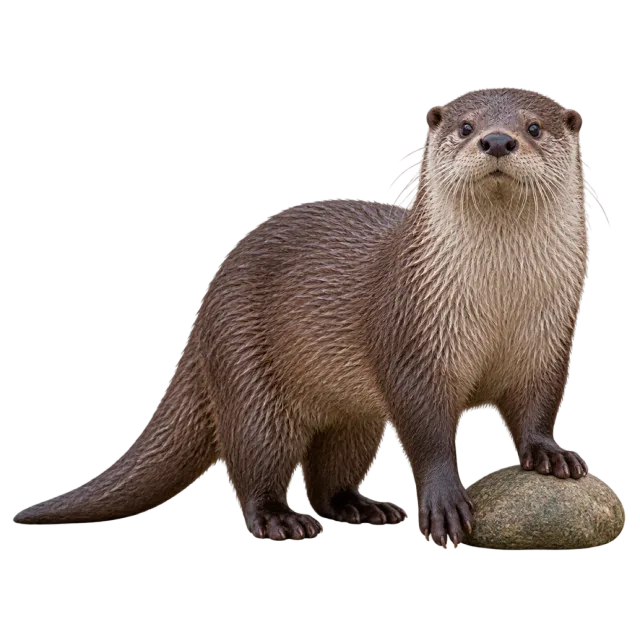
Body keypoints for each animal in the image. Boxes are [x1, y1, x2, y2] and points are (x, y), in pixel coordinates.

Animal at [13, 87, 592, 548]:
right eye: (465, 126)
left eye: (533, 127)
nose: (496, 140)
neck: (500, 301)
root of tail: (205, 309)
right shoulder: (411, 334)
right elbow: (426, 427)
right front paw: (445, 501)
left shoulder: (550, 334)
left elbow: (538, 404)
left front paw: (551, 454)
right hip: (246, 372)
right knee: (255, 459)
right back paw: (280, 520)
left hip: (353, 416)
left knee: (330, 472)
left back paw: (362, 506)